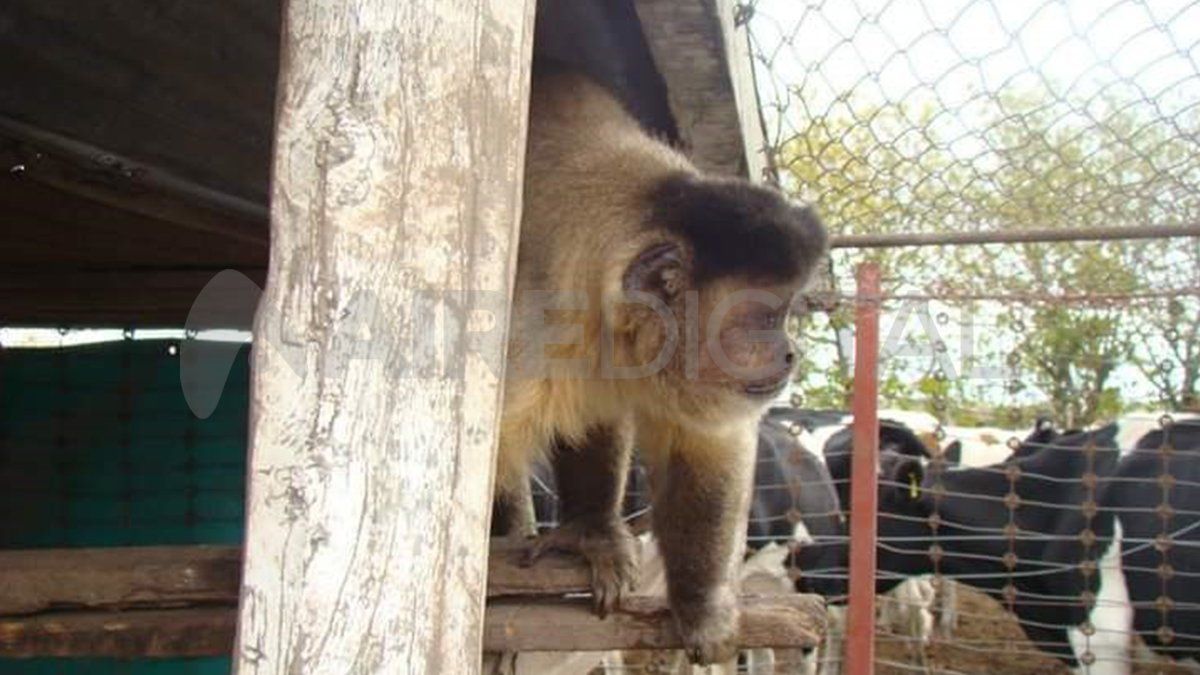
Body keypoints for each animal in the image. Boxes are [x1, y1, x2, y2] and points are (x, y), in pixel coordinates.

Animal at [493, 64, 827, 665]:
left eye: (786, 311)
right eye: (763, 318)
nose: (791, 352)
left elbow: (707, 446)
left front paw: (701, 606)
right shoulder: (524, 334)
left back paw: (590, 529)